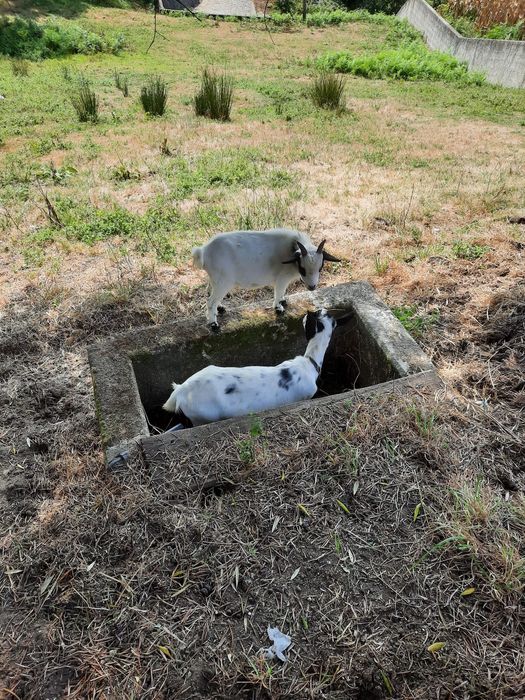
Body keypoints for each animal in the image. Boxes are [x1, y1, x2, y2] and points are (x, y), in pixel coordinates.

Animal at [192, 229, 340, 328]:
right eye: (302, 268)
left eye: (320, 268)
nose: (312, 287)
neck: (291, 248)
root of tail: (204, 251)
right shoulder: (282, 279)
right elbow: (279, 291)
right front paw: (278, 307)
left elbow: (282, 293)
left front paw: (283, 301)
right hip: (223, 282)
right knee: (211, 302)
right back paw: (213, 323)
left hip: (215, 280)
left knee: (209, 292)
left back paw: (220, 308)